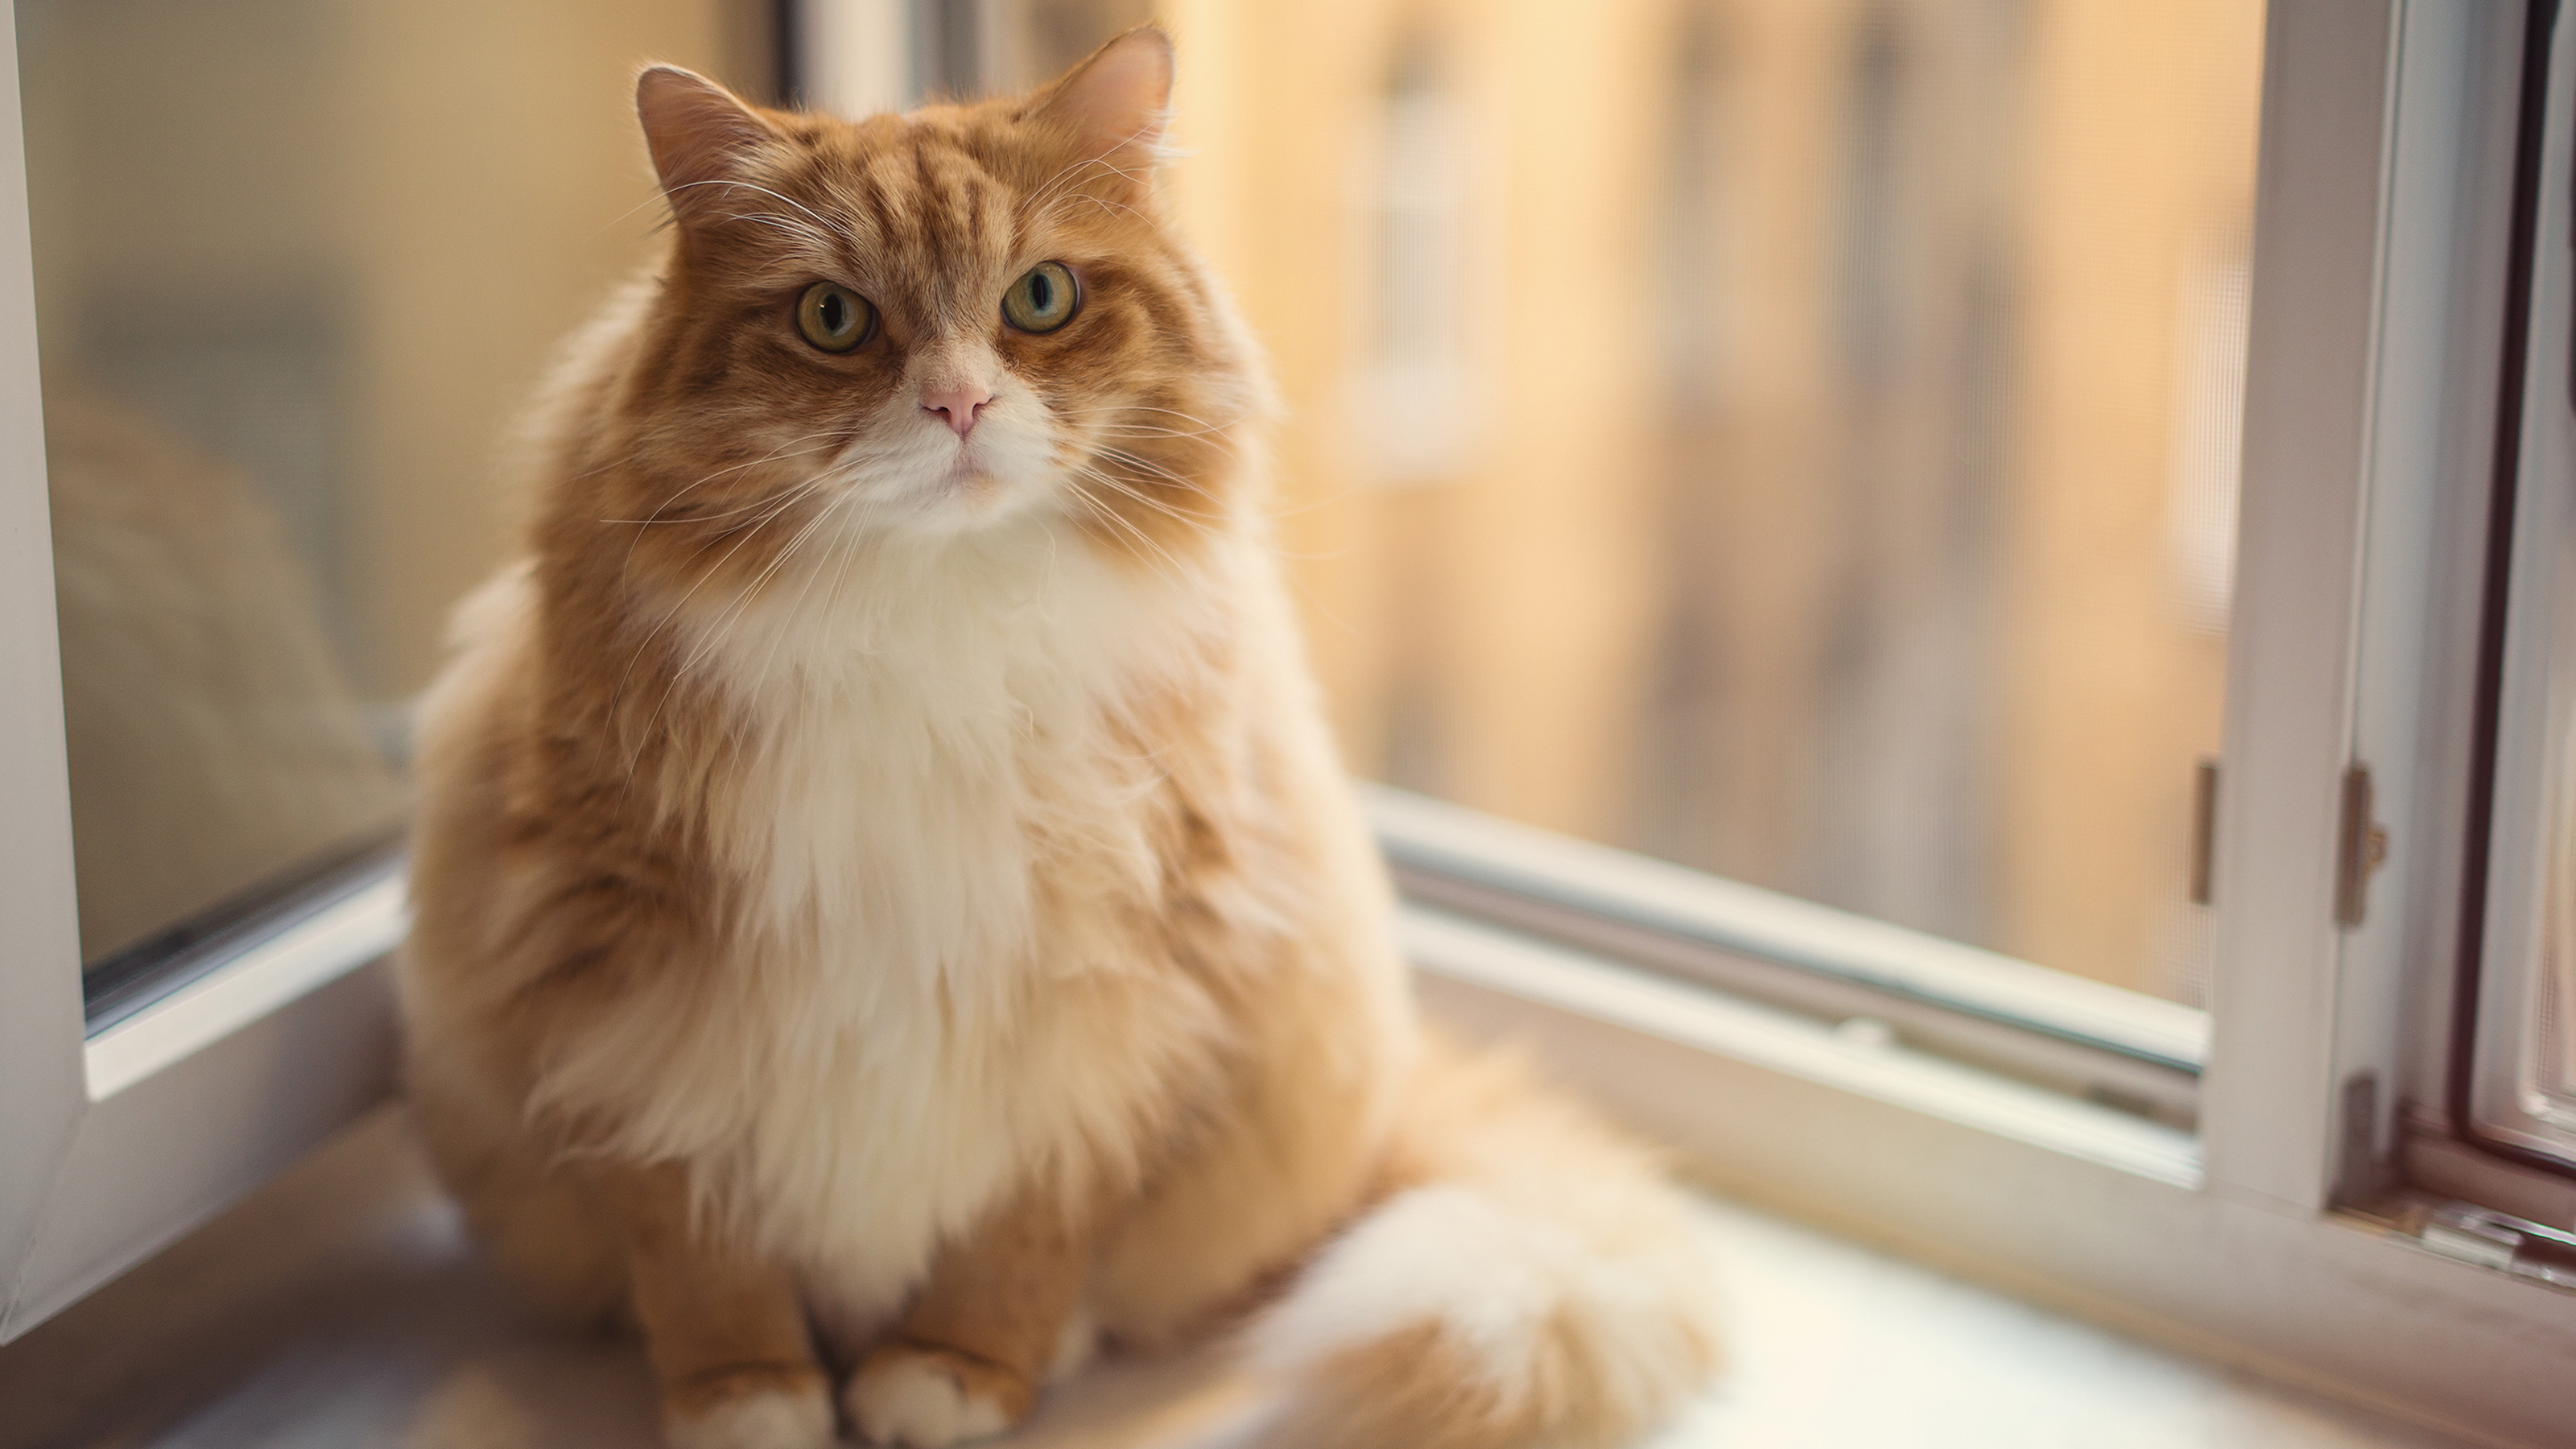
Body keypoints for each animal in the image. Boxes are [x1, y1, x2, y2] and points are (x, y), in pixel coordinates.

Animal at [391, 25, 1720, 1443]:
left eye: (1038, 299)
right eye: (833, 319)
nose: (960, 407)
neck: (932, 622)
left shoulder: (1121, 1005)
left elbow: (1026, 1236)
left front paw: (955, 1371)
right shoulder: (622, 989)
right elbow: (696, 1248)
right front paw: (745, 1396)